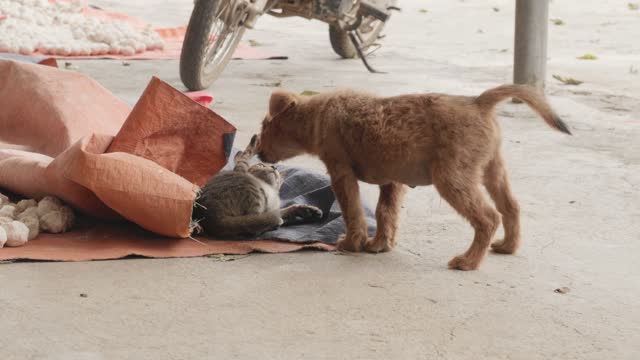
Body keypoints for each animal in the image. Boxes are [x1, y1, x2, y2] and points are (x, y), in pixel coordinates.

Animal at [255, 84, 568, 270]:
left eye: (265, 126)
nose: (257, 151)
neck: (318, 115)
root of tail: (479, 102)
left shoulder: (341, 173)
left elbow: (353, 212)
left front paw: (351, 244)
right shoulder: (391, 180)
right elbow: (385, 212)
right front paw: (379, 245)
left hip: (452, 178)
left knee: (488, 217)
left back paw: (468, 261)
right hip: (492, 170)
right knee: (511, 207)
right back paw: (507, 246)